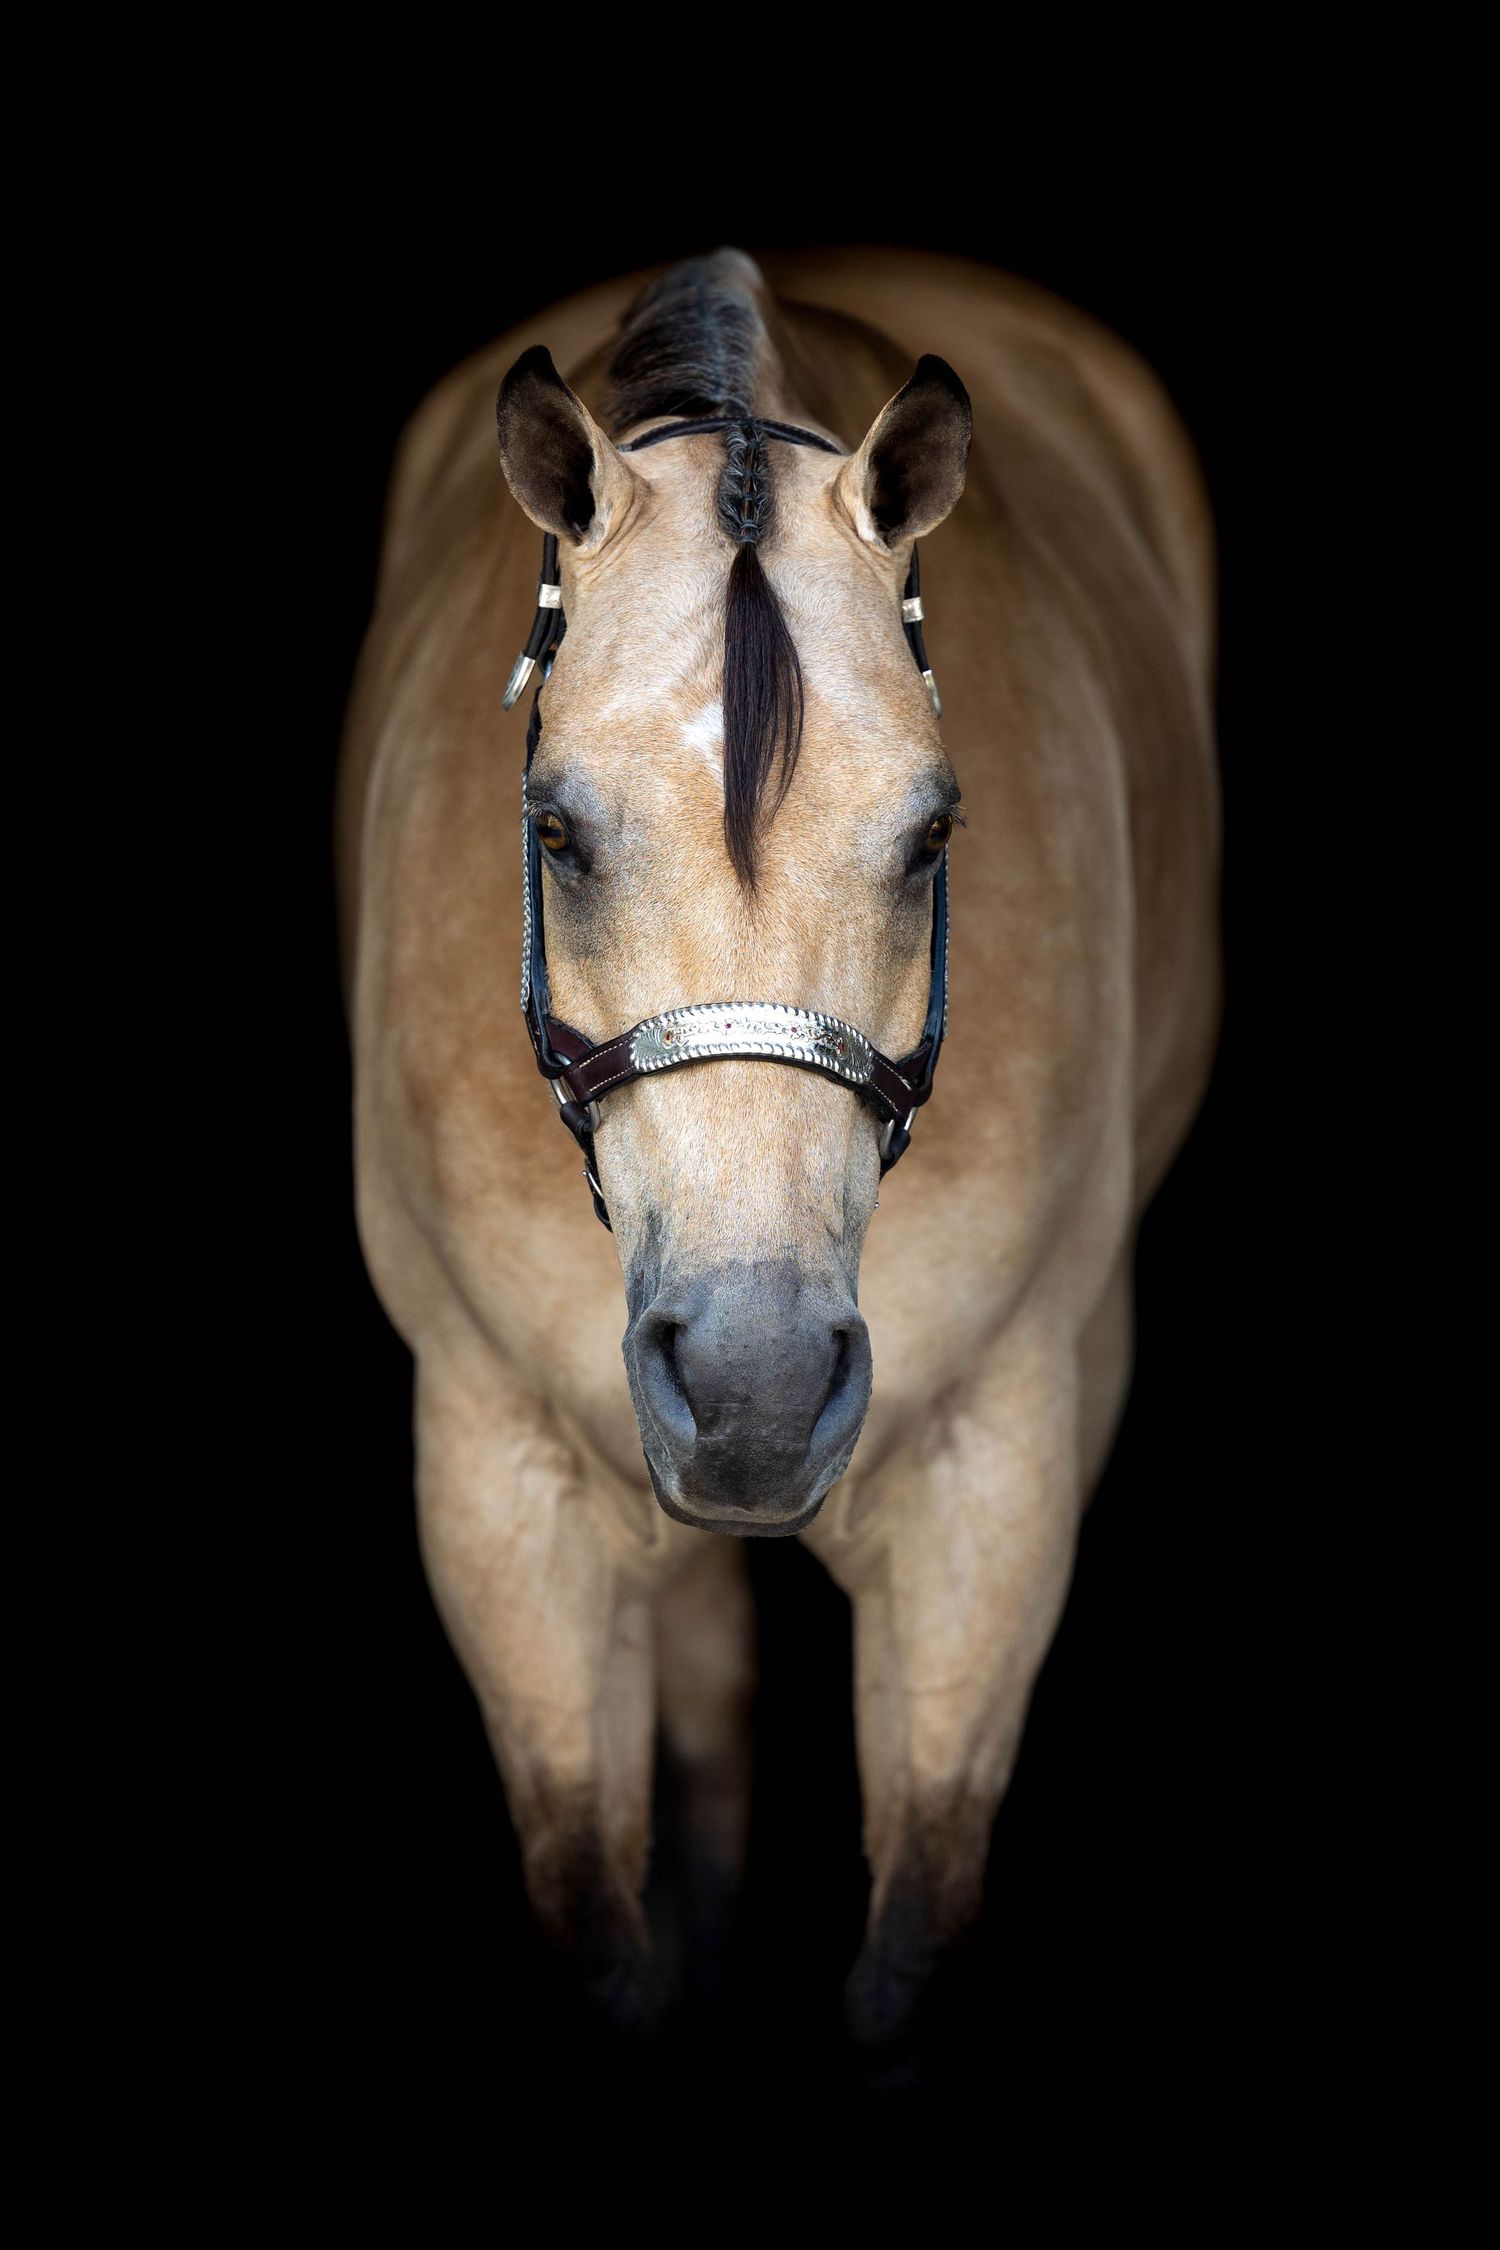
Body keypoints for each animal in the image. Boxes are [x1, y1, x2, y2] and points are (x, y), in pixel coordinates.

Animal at [336, 245, 1220, 2057]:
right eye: (553, 830)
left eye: (935, 832)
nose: (752, 1389)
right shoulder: (496, 1471)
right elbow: (599, 1910)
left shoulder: (992, 1476)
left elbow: (912, 1927)